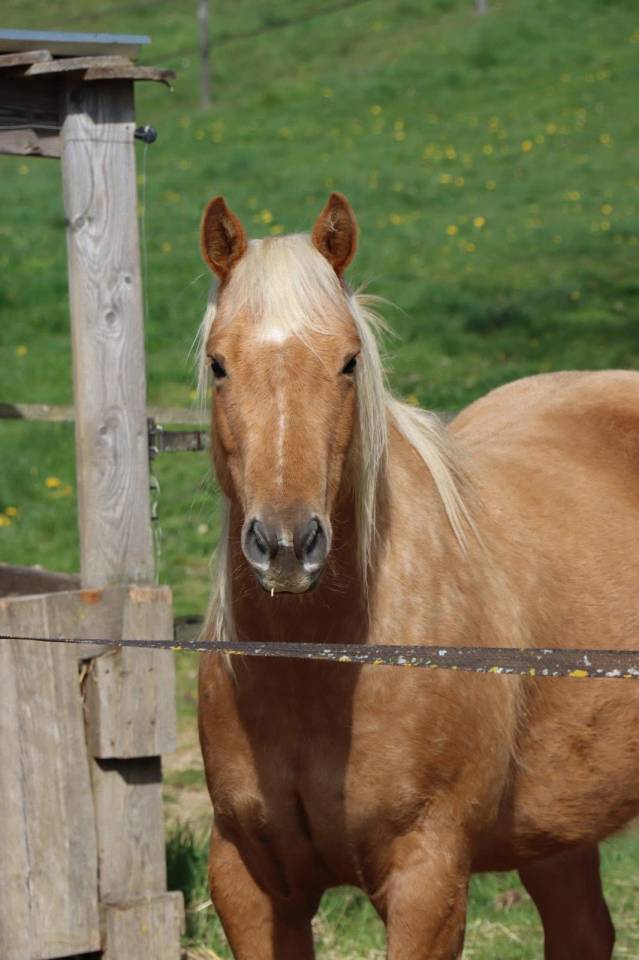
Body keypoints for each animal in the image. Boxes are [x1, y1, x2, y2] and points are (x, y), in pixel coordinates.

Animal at [196, 191, 639, 959]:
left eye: (348, 362)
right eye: (219, 364)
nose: (286, 544)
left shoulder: (426, 875)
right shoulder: (247, 878)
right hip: (557, 828)